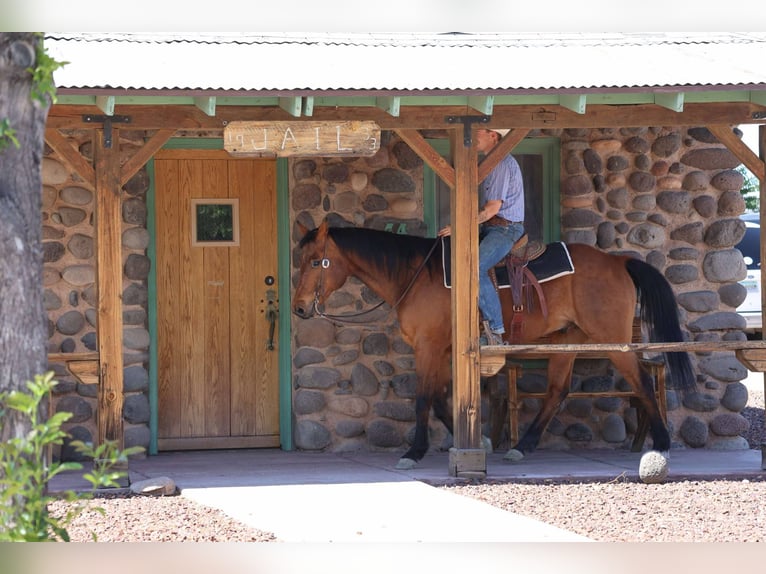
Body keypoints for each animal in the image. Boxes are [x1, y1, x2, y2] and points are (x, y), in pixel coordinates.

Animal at [292, 220, 696, 471]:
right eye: (301, 260)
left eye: (316, 261)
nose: (299, 308)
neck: (415, 275)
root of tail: (618, 260)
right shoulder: (443, 351)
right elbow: (441, 400)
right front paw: (480, 442)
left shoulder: (428, 347)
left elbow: (424, 399)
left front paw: (414, 452)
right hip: (566, 339)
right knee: (557, 391)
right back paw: (521, 446)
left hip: (614, 342)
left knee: (642, 383)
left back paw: (661, 444)